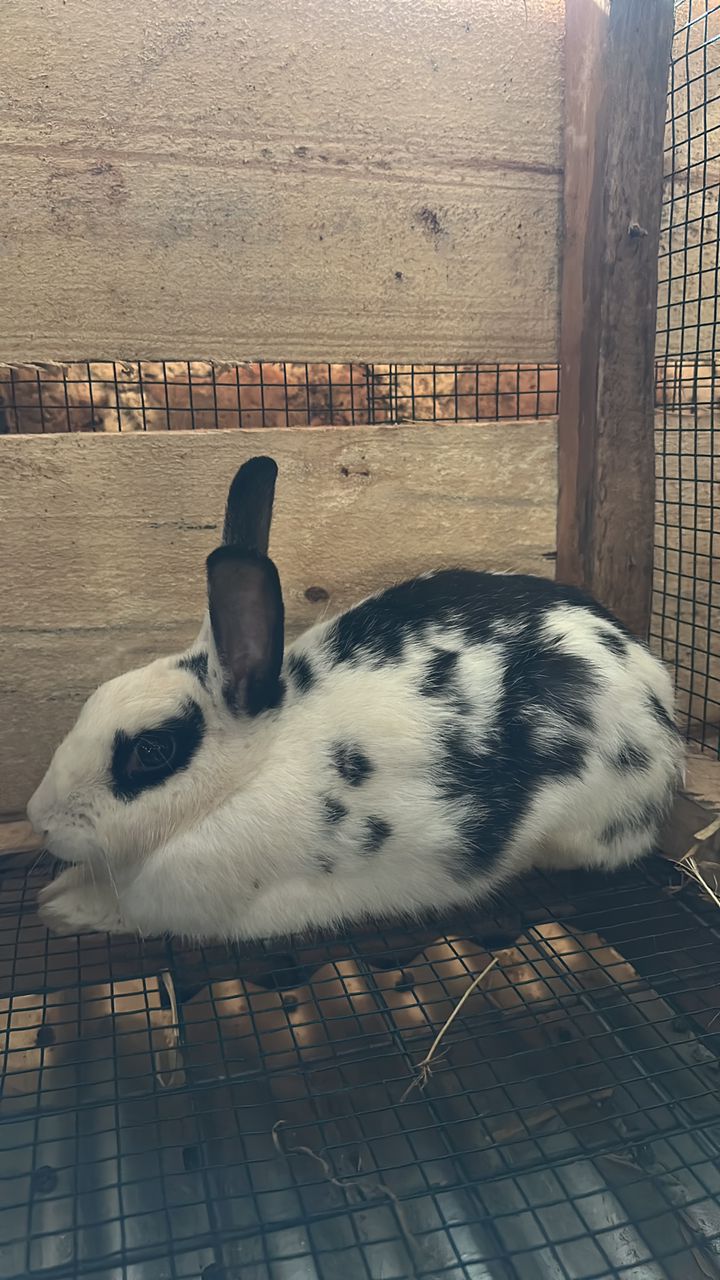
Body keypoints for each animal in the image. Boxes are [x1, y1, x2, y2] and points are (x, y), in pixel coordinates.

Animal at [29, 456, 685, 943]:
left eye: (151, 751)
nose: (39, 821)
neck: (246, 775)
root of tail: (658, 696)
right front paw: (54, 893)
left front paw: (60, 904)